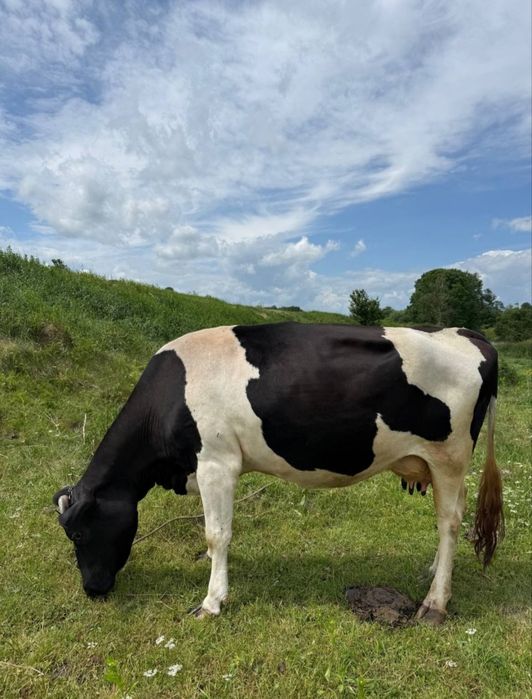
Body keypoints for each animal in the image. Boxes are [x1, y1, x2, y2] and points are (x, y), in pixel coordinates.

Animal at [53, 323, 504, 625]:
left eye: (77, 533)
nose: (92, 590)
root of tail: (464, 333)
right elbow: (214, 534)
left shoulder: (216, 461)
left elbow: (217, 533)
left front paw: (212, 601)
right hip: (439, 463)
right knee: (450, 515)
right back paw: (431, 572)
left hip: (449, 456)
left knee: (449, 522)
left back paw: (435, 603)